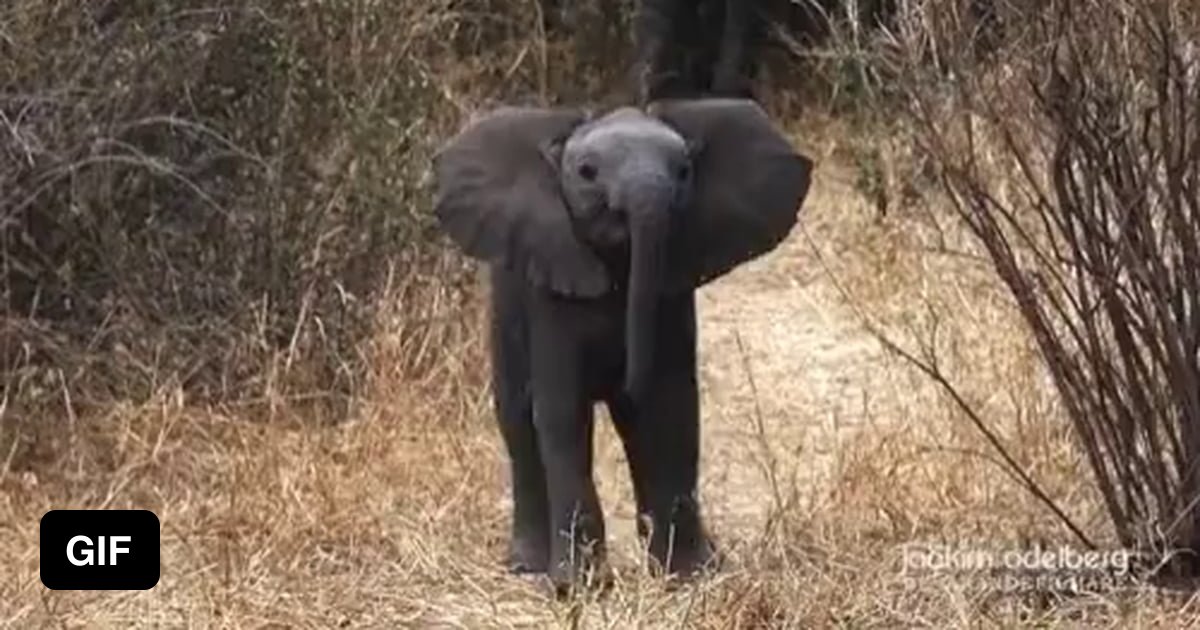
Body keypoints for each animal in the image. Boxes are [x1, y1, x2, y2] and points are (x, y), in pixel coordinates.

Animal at [434, 99, 816, 590]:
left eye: (685, 171)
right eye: (586, 172)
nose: (619, 376)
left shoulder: (672, 293)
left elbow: (668, 409)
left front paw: (689, 577)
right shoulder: (551, 293)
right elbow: (563, 415)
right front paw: (576, 588)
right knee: (517, 421)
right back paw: (527, 568)